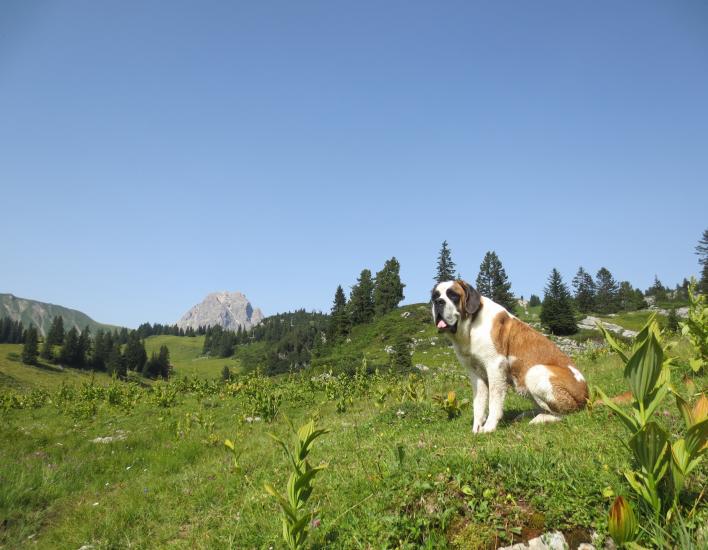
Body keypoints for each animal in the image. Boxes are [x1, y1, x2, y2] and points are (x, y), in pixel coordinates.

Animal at [432, 282, 588, 434]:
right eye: (435, 295)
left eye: (453, 295)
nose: (438, 302)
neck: (471, 325)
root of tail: (586, 395)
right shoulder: (475, 373)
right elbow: (479, 402)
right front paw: (476, 428)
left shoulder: (495, 366)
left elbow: (494, 399)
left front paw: (489, 427)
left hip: (535, 372)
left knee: (563, 413)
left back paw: (539, 419)